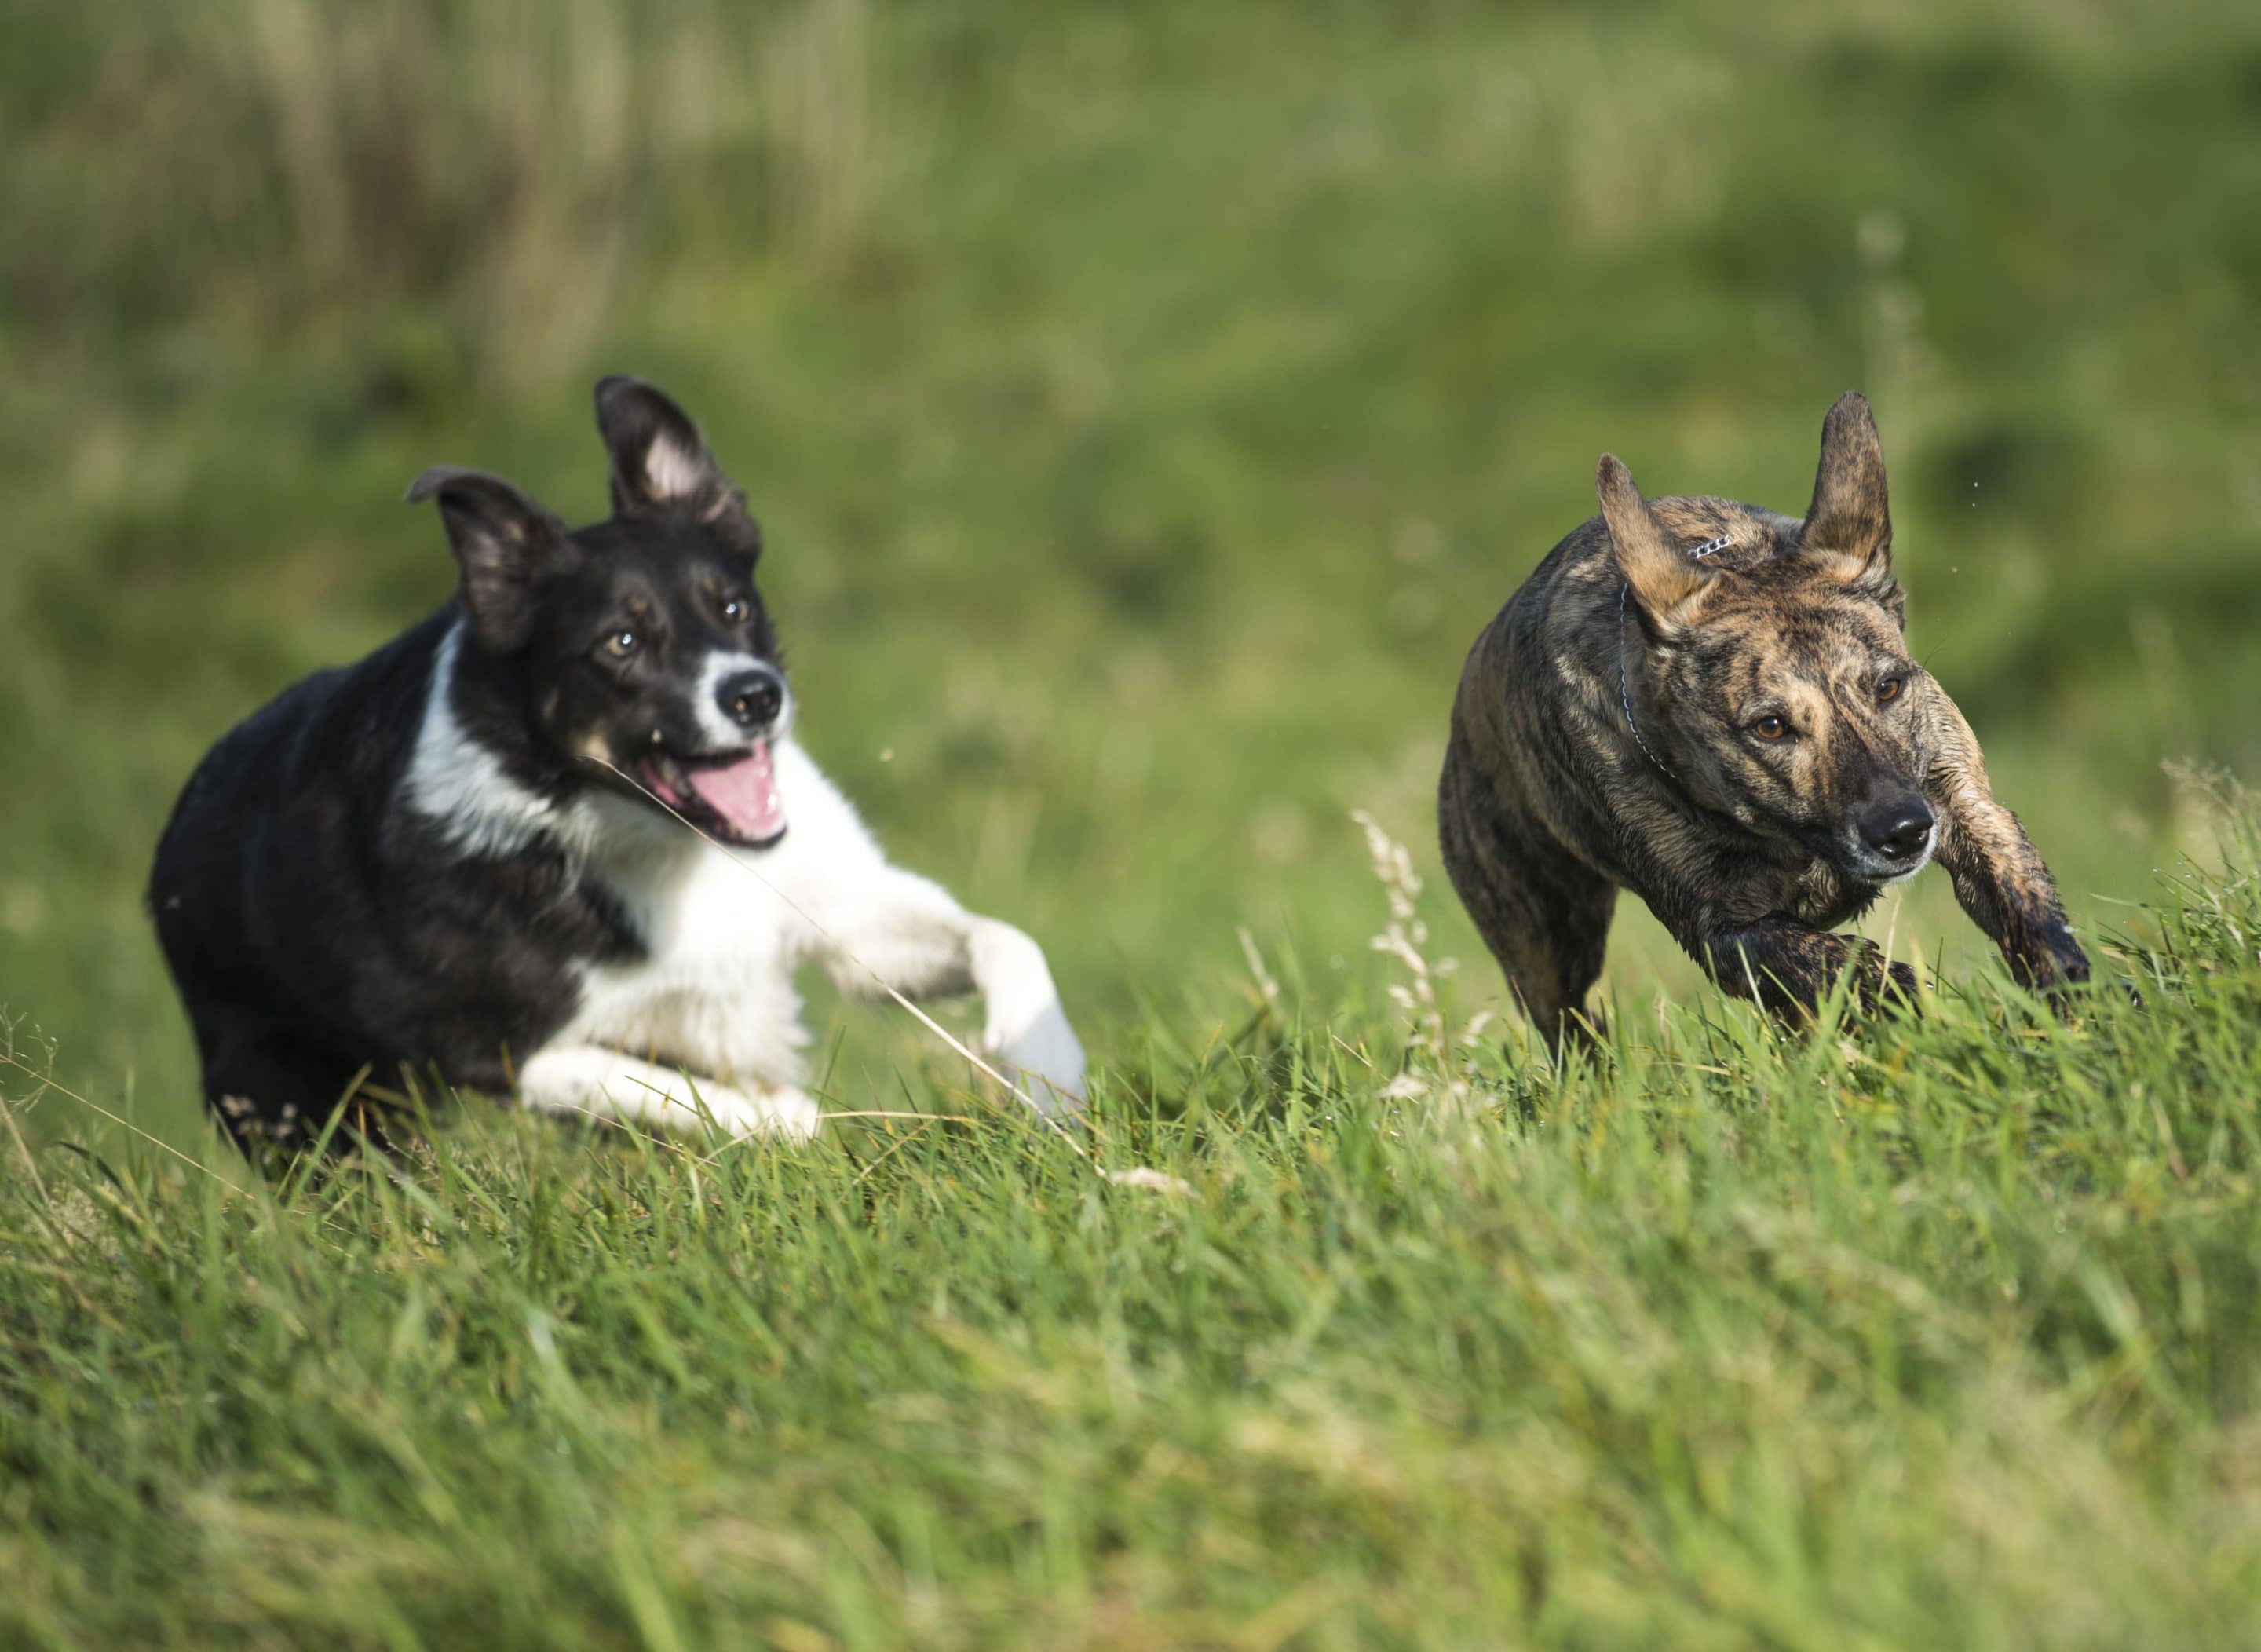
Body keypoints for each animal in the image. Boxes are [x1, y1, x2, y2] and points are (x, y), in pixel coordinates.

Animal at [150, 377, 1085, 1148]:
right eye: (622, 644)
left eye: (733, 605)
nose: (754, 696)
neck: (671, 843)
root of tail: (170, 841)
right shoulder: (494, 1049)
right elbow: (683, 1095)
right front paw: (794, 1120)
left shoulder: (845, 914)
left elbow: (1009, 940)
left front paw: (1047, 1072)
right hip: (290, 1093)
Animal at [1437, 393, 2089, 1039]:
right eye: (1769, 726)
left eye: (1888, 687)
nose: (1904, 831)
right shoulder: (1720, 927)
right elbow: (1822, 961)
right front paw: (1906, 1000)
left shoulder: (1961, 803)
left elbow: (2018, 896)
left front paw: (2066, 993)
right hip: (1541, 939)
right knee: (1567, 1023)